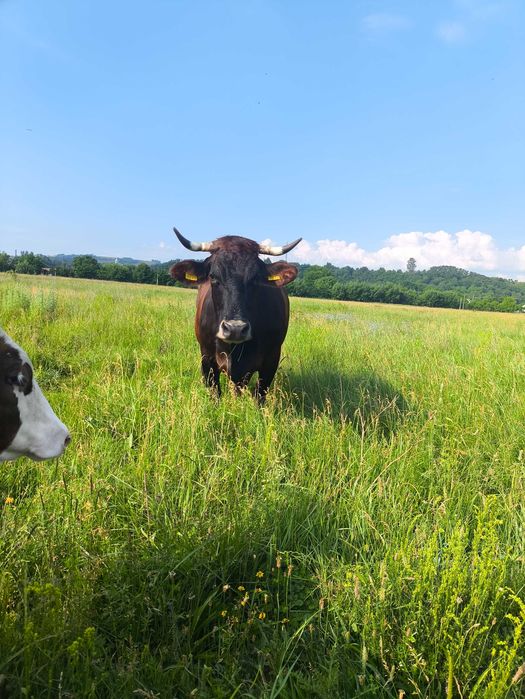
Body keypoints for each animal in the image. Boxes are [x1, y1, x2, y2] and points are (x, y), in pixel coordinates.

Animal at [170, 227, 301, 401]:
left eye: (255, 278)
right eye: (213, 276)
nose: (235, 329)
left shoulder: (271, 359)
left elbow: (259, 396)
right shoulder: (206, 358)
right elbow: (215, 394)